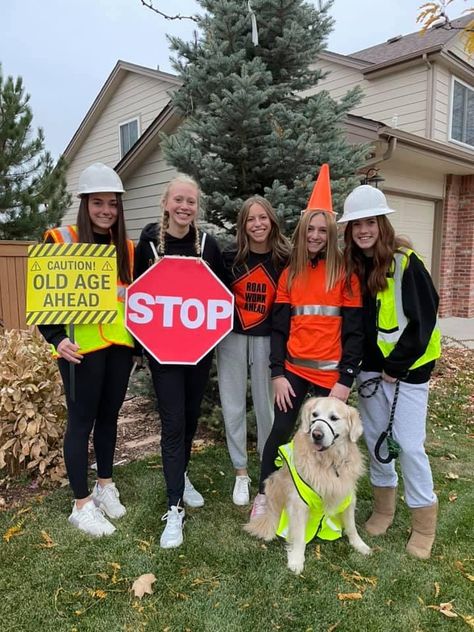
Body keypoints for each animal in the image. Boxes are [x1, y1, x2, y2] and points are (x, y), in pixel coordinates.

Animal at [246, 398, 372, 576]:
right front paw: (297, 560)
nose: (316, 434)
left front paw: (359, 544)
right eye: (315, 415)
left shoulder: (347, 496)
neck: (328, 462)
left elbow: (351, 526)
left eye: (334, 418)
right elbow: (299, 536)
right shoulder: (300, 503)